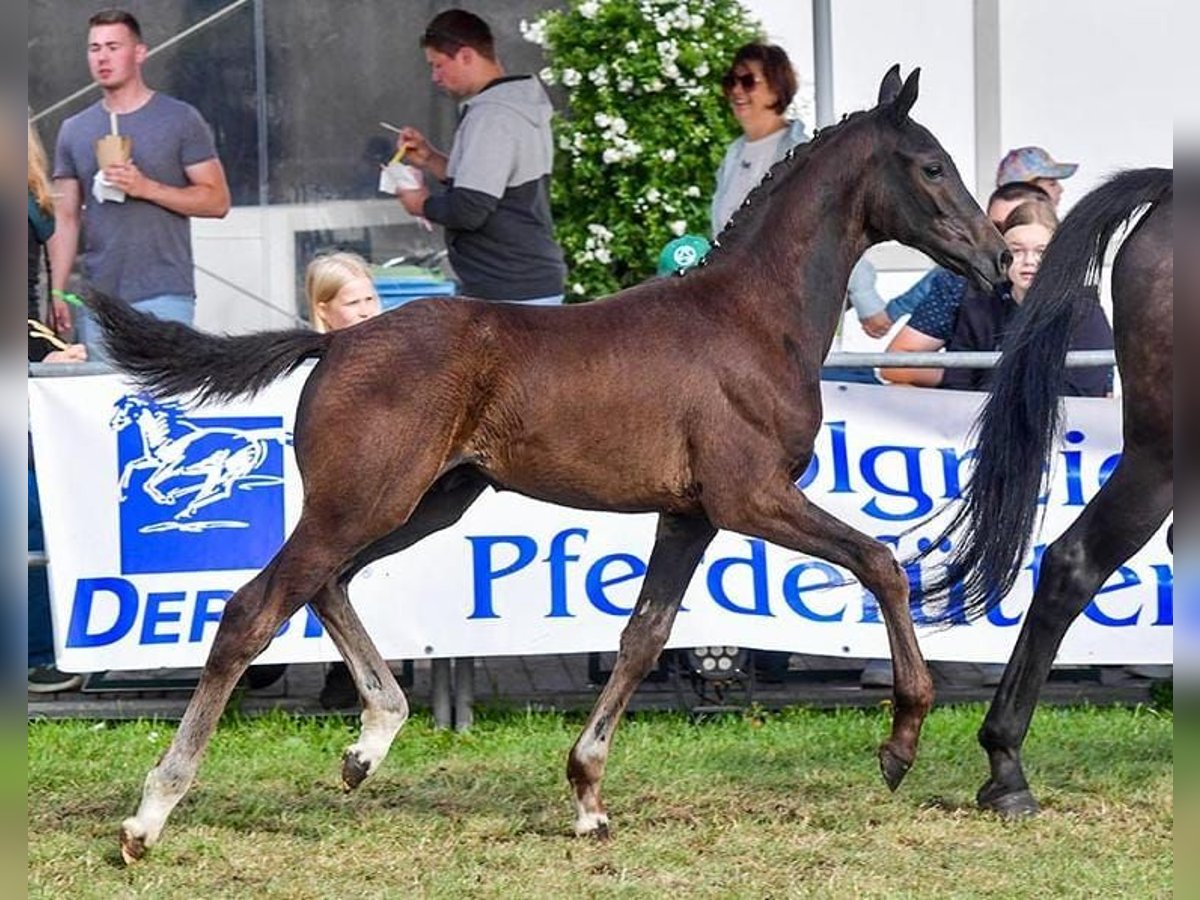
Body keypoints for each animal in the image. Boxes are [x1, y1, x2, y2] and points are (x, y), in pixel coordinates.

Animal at [93, 66, 1008, 864]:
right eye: (932, 165)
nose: (998, 257)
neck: (754, 317)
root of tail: (337, 340)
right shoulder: (750, 495)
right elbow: (880, 560)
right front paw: (901, 741)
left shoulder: (690, 514)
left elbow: (644, 635)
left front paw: (588, 796)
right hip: (366, 501)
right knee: (254, 609)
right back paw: (150, 815)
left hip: (427, 501)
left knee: (327, 585)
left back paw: (369, 744)